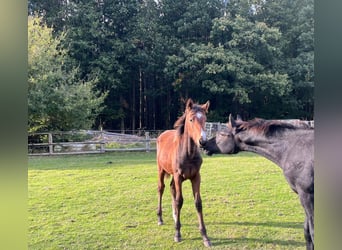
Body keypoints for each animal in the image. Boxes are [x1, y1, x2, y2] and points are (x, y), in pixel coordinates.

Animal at [157, 98, 211, 247]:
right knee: (161, 188)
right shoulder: (178, 177)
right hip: (161, 170)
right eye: (191, 119)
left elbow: (198, 203)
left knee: (171, 189)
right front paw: (177, 234)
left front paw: (205, 236)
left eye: (205, 119)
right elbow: (179, 201)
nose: (203, 141)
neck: (188, 154)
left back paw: (175, 216)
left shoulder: (196, 176)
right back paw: (160, 218)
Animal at [202, 115, 314, 250]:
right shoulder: (303, 195)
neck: (292, 148)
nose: (203, 144)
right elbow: (307, 232)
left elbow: (312, 232)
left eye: (222, 134)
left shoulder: (307, 195)